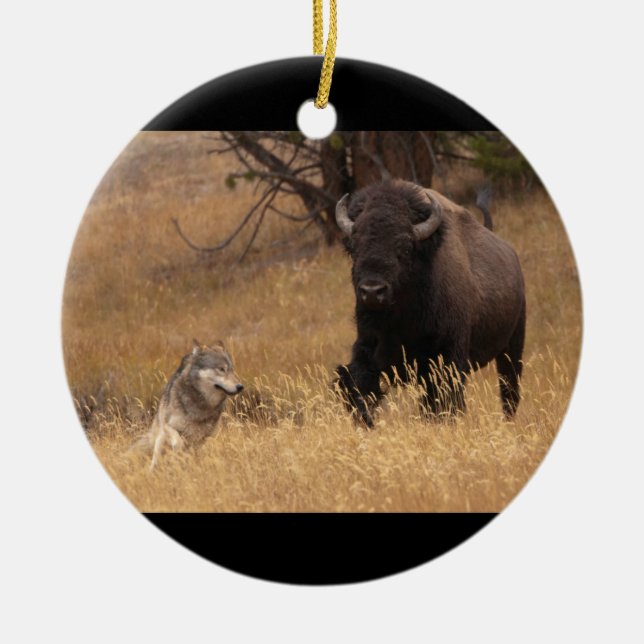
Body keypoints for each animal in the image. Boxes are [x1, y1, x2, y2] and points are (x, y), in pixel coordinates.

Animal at [132, 340, 244, 468]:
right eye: (221, 369)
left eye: (232, 370)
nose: (240, 387)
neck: (200, 403)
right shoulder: (168, 426)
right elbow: (178, 442)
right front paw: (177, 455)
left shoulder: (201, 438)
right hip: (160, 438)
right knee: (155, 459)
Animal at [334, 179, 526, 427]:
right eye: (354, 247)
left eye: (405, 247)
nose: (372, 291)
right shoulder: (369, 349)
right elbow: (359, 383)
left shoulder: (447, 356)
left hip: (512, 347)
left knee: (509, 389)